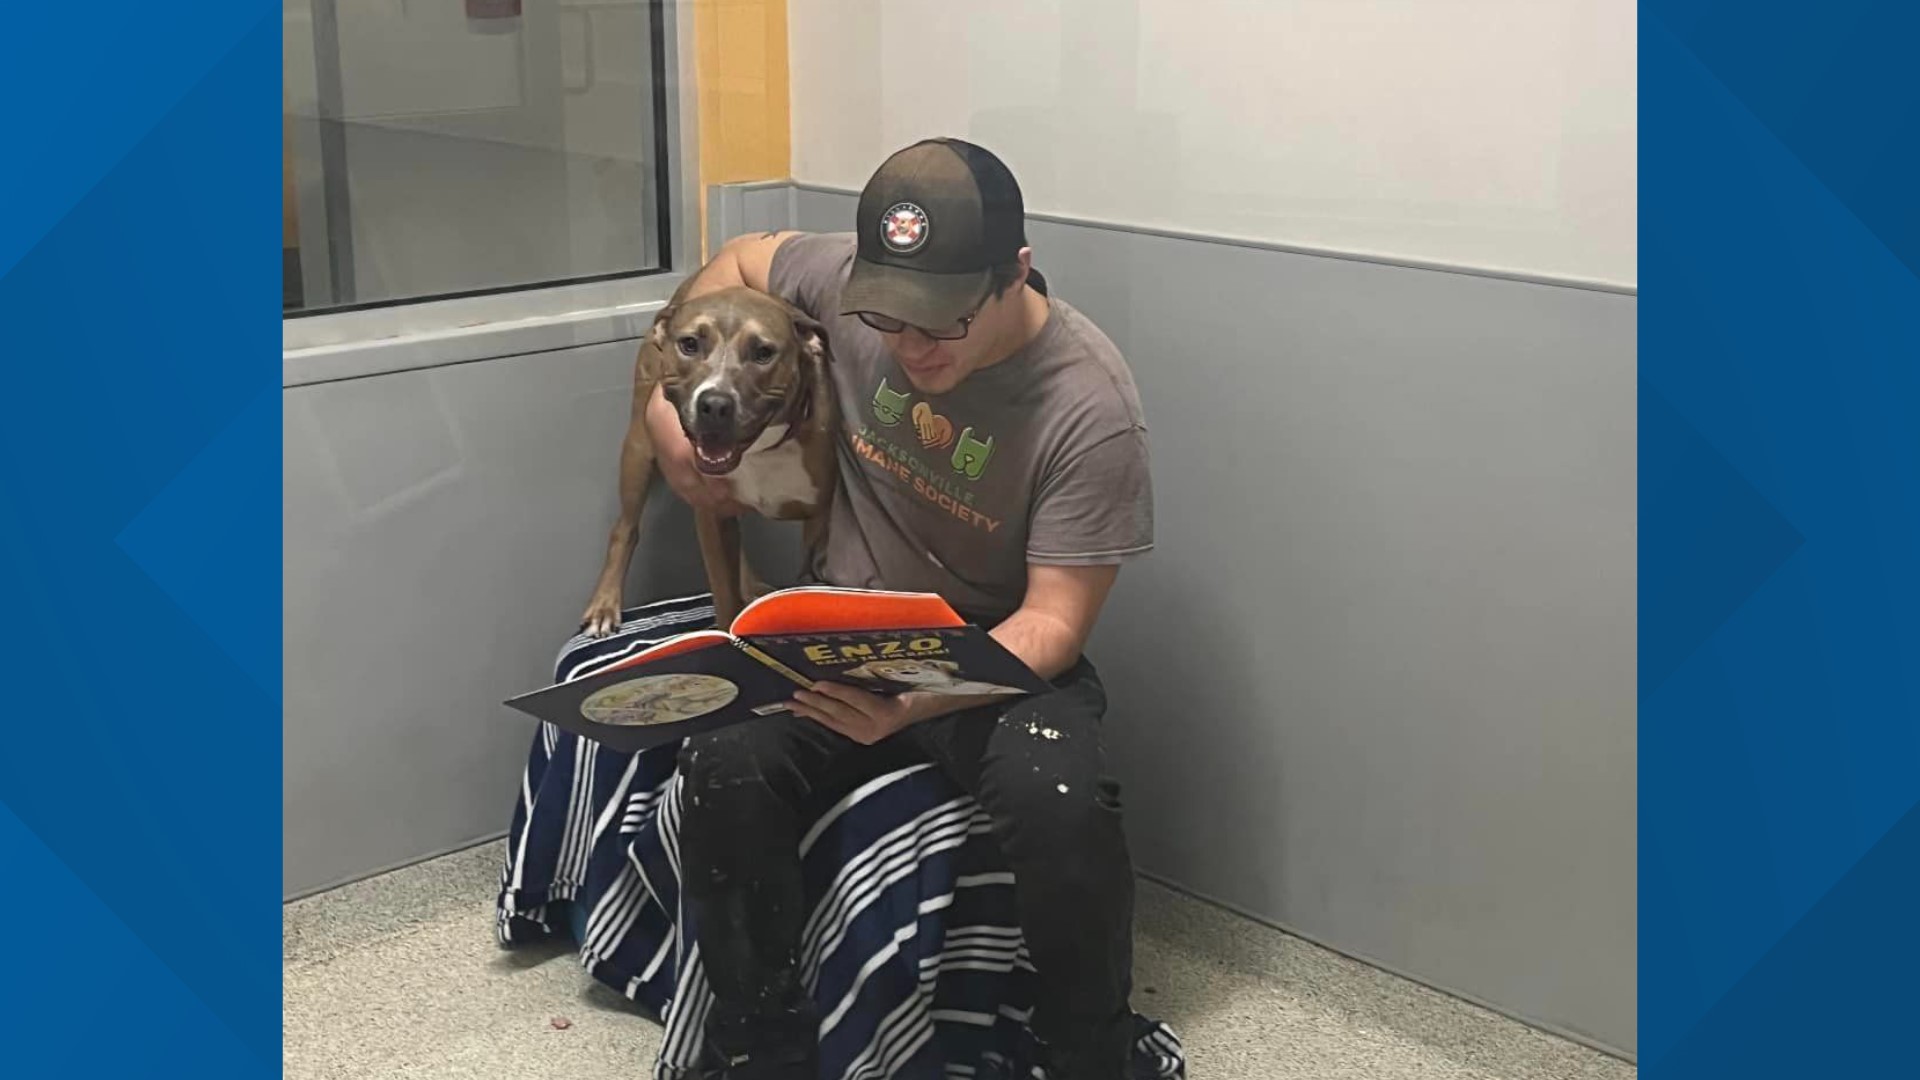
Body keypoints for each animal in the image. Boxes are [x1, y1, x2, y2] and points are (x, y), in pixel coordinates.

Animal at [576, 282, 833, 634]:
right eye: (689, 344)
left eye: (763, 352)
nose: (714, 404)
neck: (762, 451)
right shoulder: (709, 516)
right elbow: (724, 595)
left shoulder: (819, 519)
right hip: (638, 450)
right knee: (624, 528)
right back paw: (605, 603)